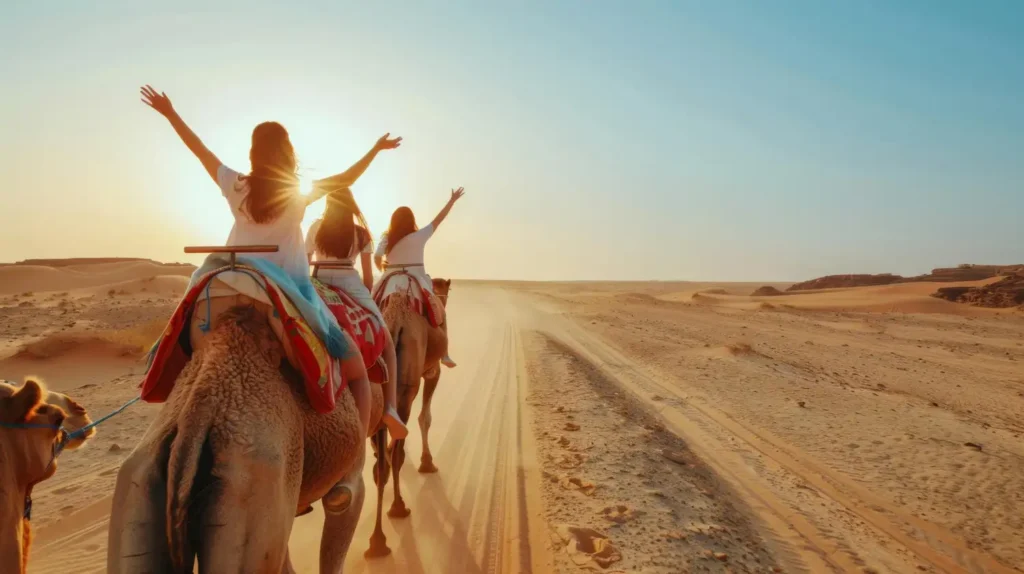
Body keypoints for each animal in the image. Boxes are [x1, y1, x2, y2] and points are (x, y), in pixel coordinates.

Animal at [366, 278, 450, 556]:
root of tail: (393, 323)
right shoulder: (432, 371)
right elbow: (426, 417)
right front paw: (427, 462)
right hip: (406, 383)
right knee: (399, 438)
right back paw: (398, 507)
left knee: (384, 447)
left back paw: (377, 539)